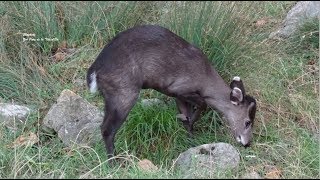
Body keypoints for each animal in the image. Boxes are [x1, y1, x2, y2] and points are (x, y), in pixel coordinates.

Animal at [86, 23, 256, 159]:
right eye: (248, 122)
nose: (247, 143)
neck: (205, 81)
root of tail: (95, 71)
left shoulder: (179, 97)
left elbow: (188, 118)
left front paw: (191, 140)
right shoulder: (178, 89)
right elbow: (202, 104)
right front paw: (188, 121)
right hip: (124, 93)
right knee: (107, 129)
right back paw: (113, 161)